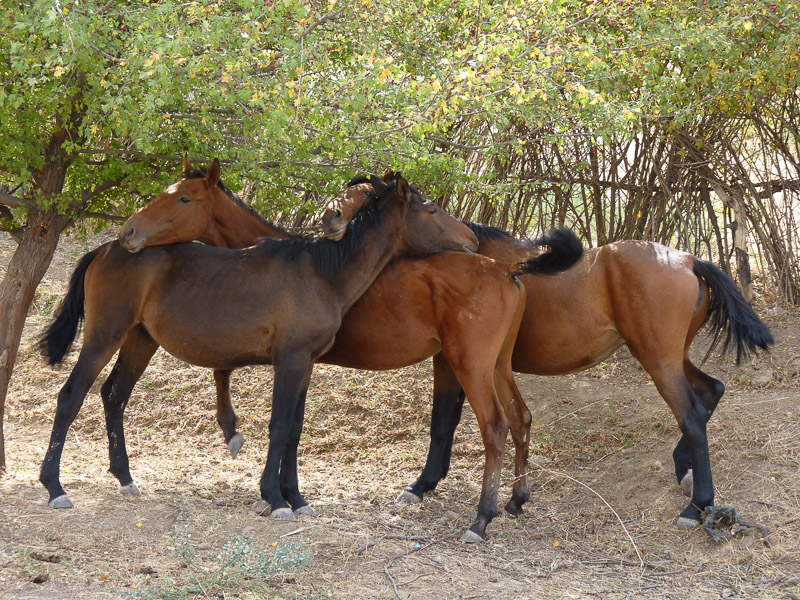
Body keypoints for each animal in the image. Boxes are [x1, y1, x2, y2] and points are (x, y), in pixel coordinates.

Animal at [320, 188, 776, 528]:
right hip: (672, 358)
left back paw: (697, 505)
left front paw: (423, 484)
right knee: (711, 391)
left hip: (659, 360)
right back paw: (685, 471)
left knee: (693, 415)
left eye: (362, 196)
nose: (329, 220)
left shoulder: (451, 360)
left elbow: (442, 421)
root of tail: (688, 259)